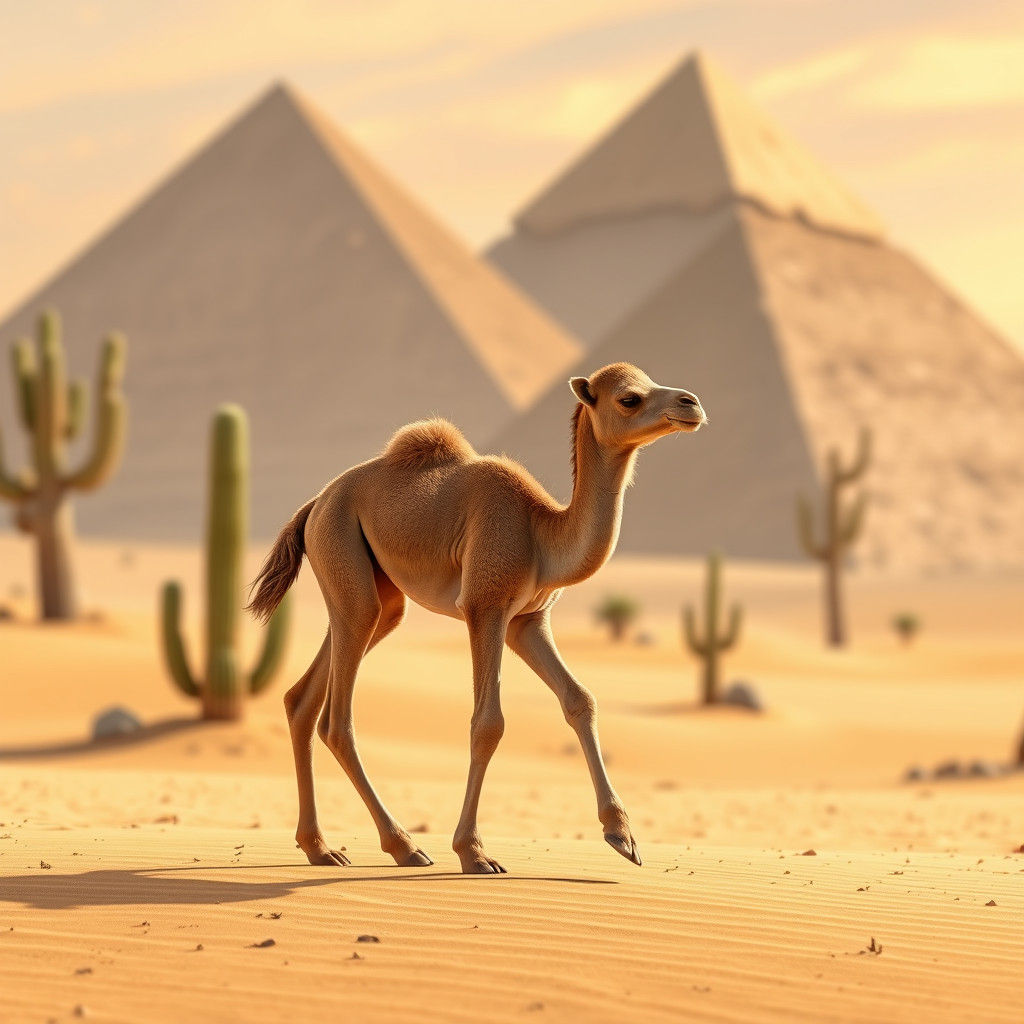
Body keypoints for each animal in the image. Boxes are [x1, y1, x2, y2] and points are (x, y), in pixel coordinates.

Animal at [248, 363, 706, 873]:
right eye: (628, 398)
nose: (690, 404)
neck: (541, 532)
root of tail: (313, 505)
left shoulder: (528, 621)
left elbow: (579, 700)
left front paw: (622, 836)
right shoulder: (485, 606)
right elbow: (487, 723)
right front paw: (474, 851)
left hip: (372, 595)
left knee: (304, 697)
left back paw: (320, 848)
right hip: (342, 549)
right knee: (337, 720)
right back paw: (403, 846)